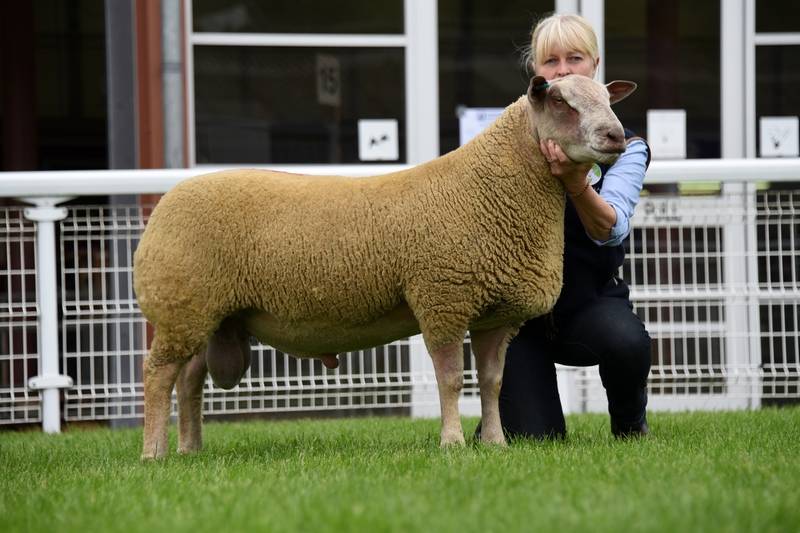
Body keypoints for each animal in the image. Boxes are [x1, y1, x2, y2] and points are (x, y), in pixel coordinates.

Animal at [134, 74, 636, 459]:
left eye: (607, 98)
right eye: (560, 101)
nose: (617, 137)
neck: (489, 188)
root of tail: (165, 205)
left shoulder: (496, 315)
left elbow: (493, 383)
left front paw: (495, 444)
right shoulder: (443, 299)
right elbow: (451, 381)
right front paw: (452, 443)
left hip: (204, 312)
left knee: (190, 380)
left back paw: (191, 449)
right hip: (182, 305)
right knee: (158, 376)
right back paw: (154, 453)